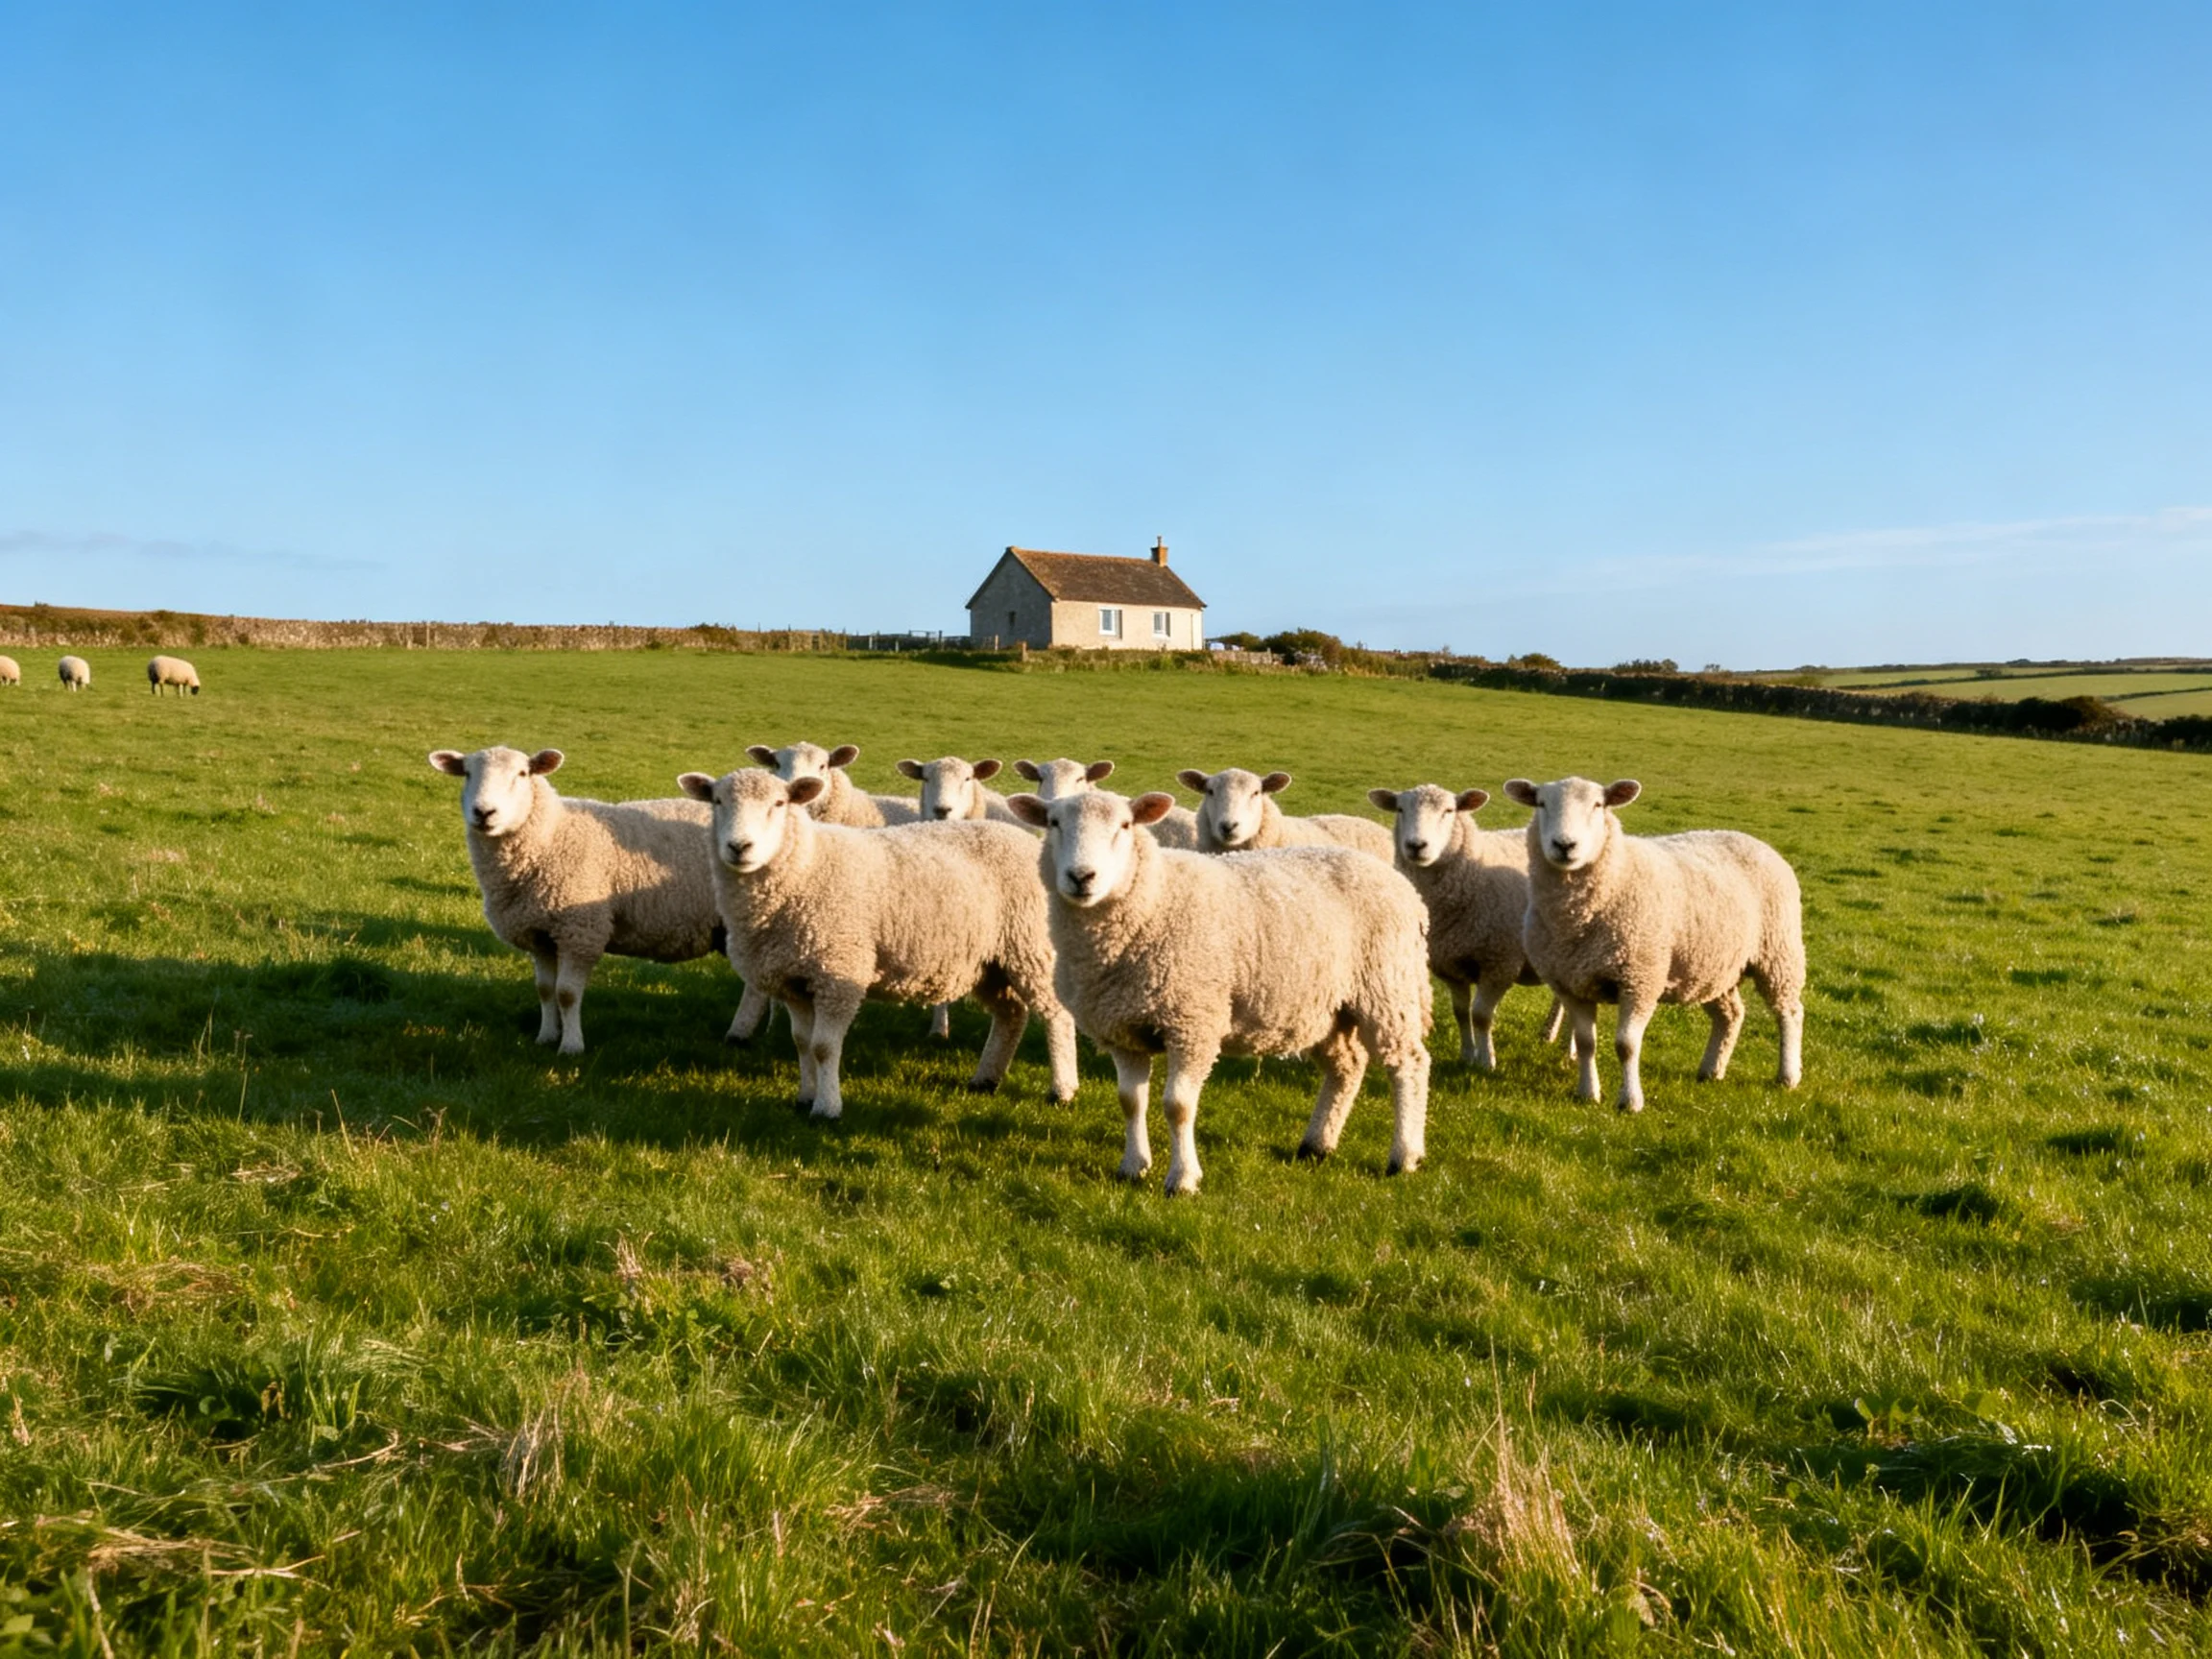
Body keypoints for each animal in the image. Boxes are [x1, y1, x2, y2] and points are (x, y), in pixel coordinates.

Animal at [427, 745, 758, 1054]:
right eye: (467, 773)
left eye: (522, 774)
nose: (484, 813)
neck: (552, 835)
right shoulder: (540, 936)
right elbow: (544, 990)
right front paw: (546, 1036)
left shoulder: (580, 931)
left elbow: (566, 993)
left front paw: (571, 1046)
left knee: (754, 987)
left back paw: (740, 1033)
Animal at [676, 765, 1078, 1118]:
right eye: (717, 801)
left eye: (778, 803)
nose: (739, 846)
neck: (805, 866)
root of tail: (1028, 842)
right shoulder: (795, 982)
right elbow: (802, 1043)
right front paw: (805, 1097)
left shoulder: (839, 973)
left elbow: (823, 1047)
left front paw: (827, 1109)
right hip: (992, 961)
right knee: (1011, 1015)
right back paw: (986, 1079)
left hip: (1032, 948)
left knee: (1057, 1016)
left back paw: (1062, 1090)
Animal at [1008, 785, 1433, 1196]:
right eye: (1054, 822)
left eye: (1125, 825)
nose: (1081, 877)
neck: (1153, 901)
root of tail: (1403, 886)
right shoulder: (1122, 1030)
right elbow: (1130, 1102)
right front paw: (1132, 1167)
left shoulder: (1193, 1023)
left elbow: (1177, 1106)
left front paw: (1182, 1179)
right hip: (1329, 1007)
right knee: (1347, 1066)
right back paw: (1316, 1145)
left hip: (1387, 988)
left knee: (1409, 1065)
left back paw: (1405, 1156)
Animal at [1366, 784, 1568, 1070]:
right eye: (1400, 809)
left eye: (1448, 811)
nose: (1416, 846)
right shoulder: (1449, 966)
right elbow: (1461, 1013)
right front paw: (1466, 1054)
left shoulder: (1499, 963)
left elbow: (1481, 1015)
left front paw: (1486, 1061)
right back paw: (1549, 1034)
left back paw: (1569, 1049)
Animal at [1503, 777, 1805, 1112]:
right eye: (1541, 803)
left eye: (1598, 804)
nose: (1565, 845)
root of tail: (1755, 841)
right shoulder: (1570, 984)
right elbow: (1585, 1043)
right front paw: (1587, 1093)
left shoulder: (1640, 980)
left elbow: (1626, 1045)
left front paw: (1630, 1101)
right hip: (1715, 966)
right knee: (1731, 1014)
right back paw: (1712, 1069)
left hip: (1779, 953)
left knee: (1790, 1013)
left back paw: (1788, 1076)